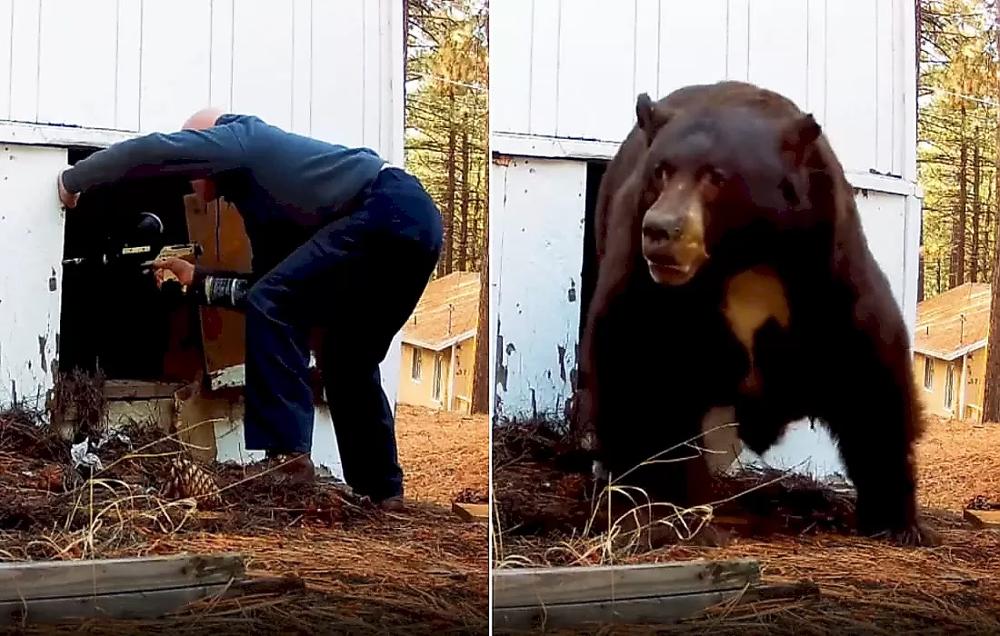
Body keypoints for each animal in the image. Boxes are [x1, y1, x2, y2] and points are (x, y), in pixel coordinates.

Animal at [576, 79, 940, 548]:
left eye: (717, 176)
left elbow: (872, 382)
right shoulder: (646, 286)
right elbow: (638, 371)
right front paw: (669, 512)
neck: (746, 258)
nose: (660, 230)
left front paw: (898, 522)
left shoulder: (828, 278)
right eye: (660, 171)